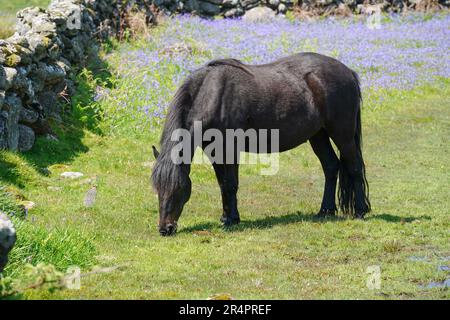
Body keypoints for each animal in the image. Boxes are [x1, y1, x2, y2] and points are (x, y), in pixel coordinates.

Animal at [151, 52, 370, 236]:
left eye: (179, 187)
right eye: (157, 188)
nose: (165, 228)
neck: (213, 94)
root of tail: (349, 73)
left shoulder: (231, 148)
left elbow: (231, 183)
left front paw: (232, 220)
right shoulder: (214, 150)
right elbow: (222, 184)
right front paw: (226, 217)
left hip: (342, 135)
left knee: (355, 167)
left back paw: (360, 211)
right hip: (318, 135)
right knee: (331, 167)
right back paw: (325, 210)